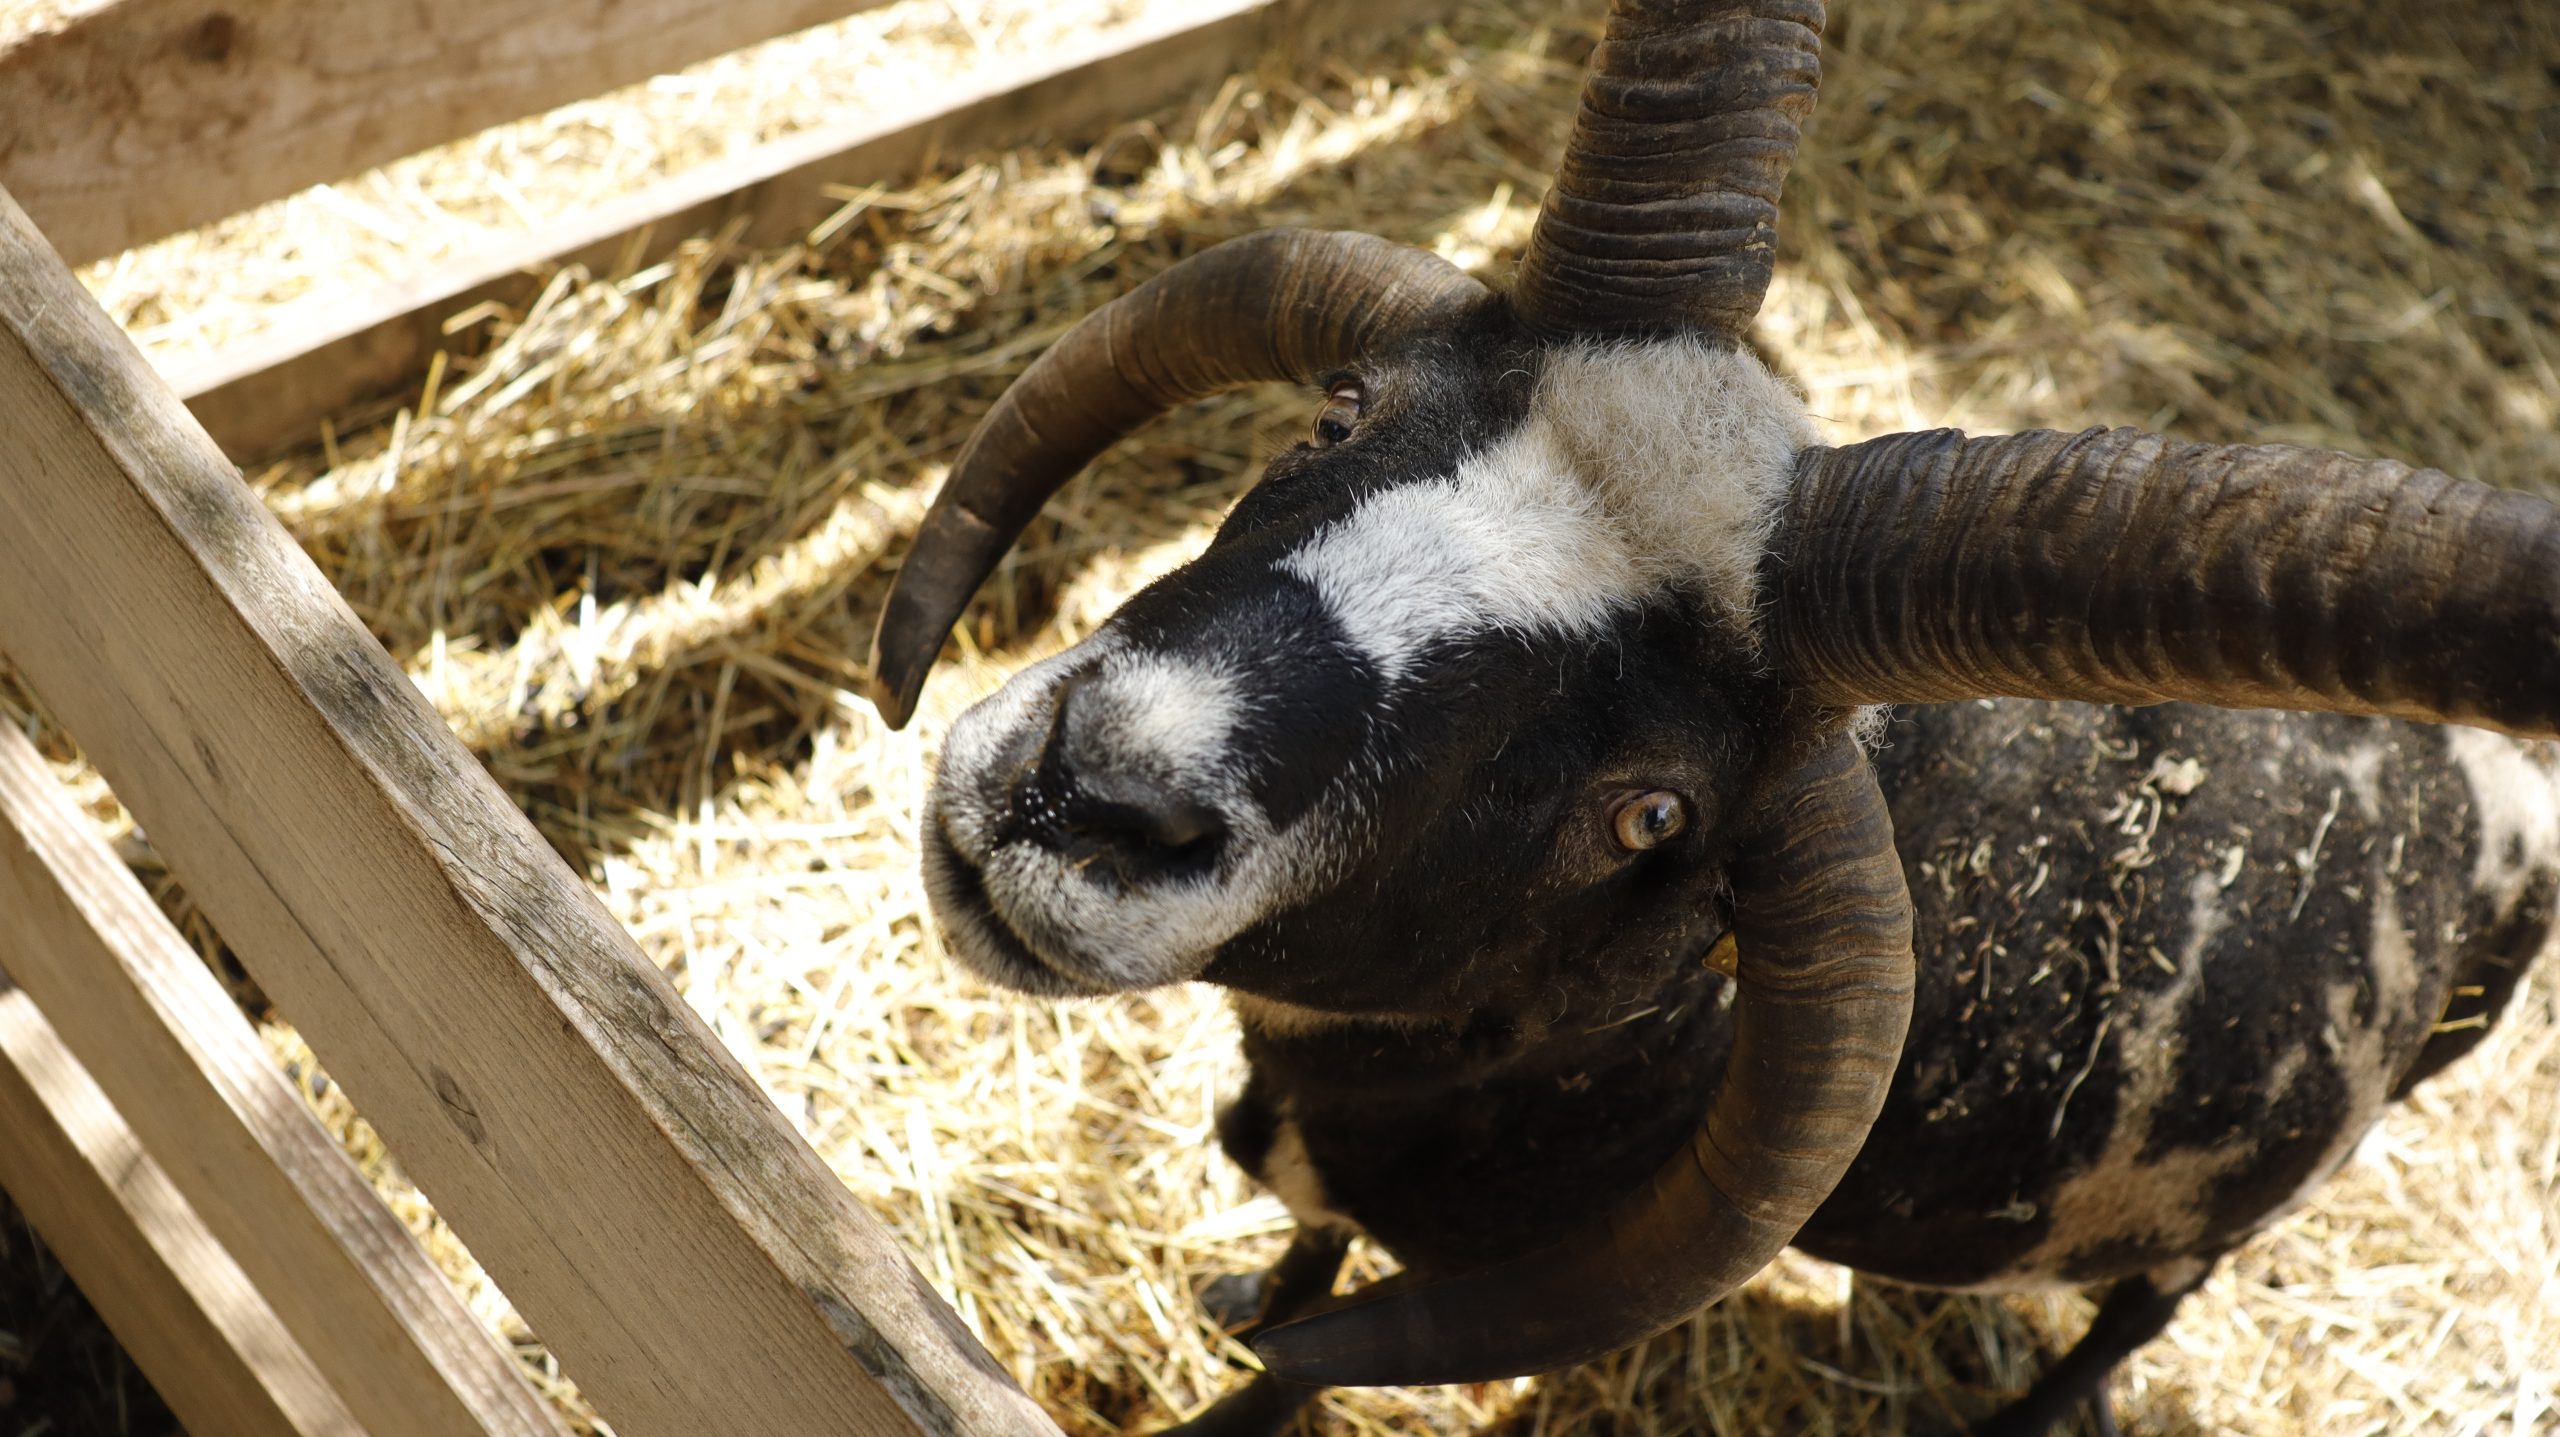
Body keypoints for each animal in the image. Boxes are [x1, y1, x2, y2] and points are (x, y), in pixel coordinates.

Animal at [859, 2, 2560, 1432]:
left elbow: (1296, 1368)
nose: (1094, 786)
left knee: (2145, 1308)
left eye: (1651, 810)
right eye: (1340, 415)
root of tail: (2493, 785)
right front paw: (1240, 1290)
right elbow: (1302, 1269)